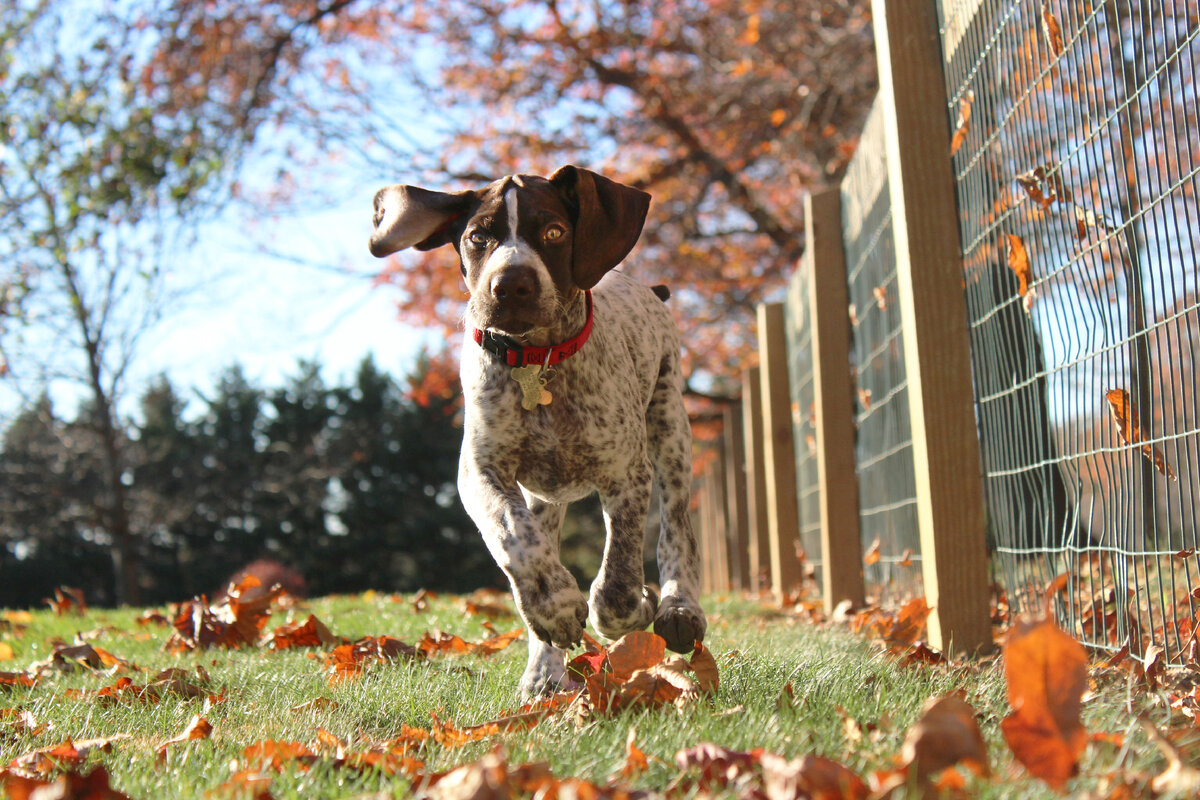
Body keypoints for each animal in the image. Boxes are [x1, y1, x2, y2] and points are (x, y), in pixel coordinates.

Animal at [364, 165, 700, 695]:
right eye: (478, 237)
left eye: (554, 232)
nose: (511, 284)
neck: (536, 362)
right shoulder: (480, 472)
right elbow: (512, 535)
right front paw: (554, 608)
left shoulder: (626, 474)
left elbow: (619, 580)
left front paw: (636, 605)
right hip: (545, 495)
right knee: (537, 539)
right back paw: (544, 672)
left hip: (670, 430)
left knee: (676, 528)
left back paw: (679, 609)